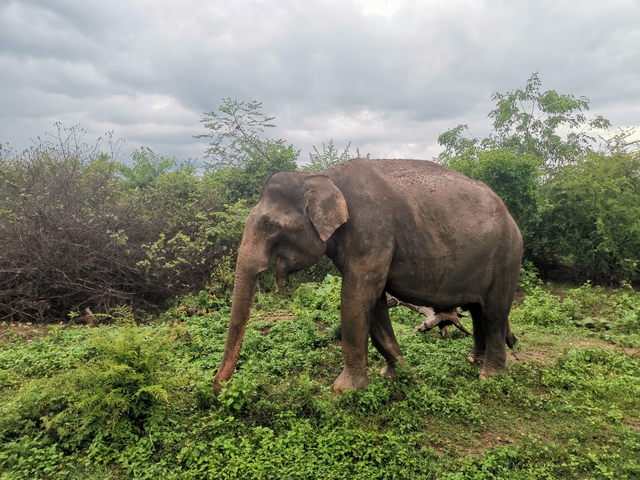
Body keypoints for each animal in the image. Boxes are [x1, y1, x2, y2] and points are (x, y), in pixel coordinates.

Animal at [214, 158, 523, 394]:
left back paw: (490, 376)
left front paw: (344, 390)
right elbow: (373, 303)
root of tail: (511, 217)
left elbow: (355, 296)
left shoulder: (372, 232)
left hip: (507, 258)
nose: (219, 390)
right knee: (478, 309)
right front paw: (397, 373)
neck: (323, 176)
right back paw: (473, 360)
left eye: (269, 226)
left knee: (494, 313)